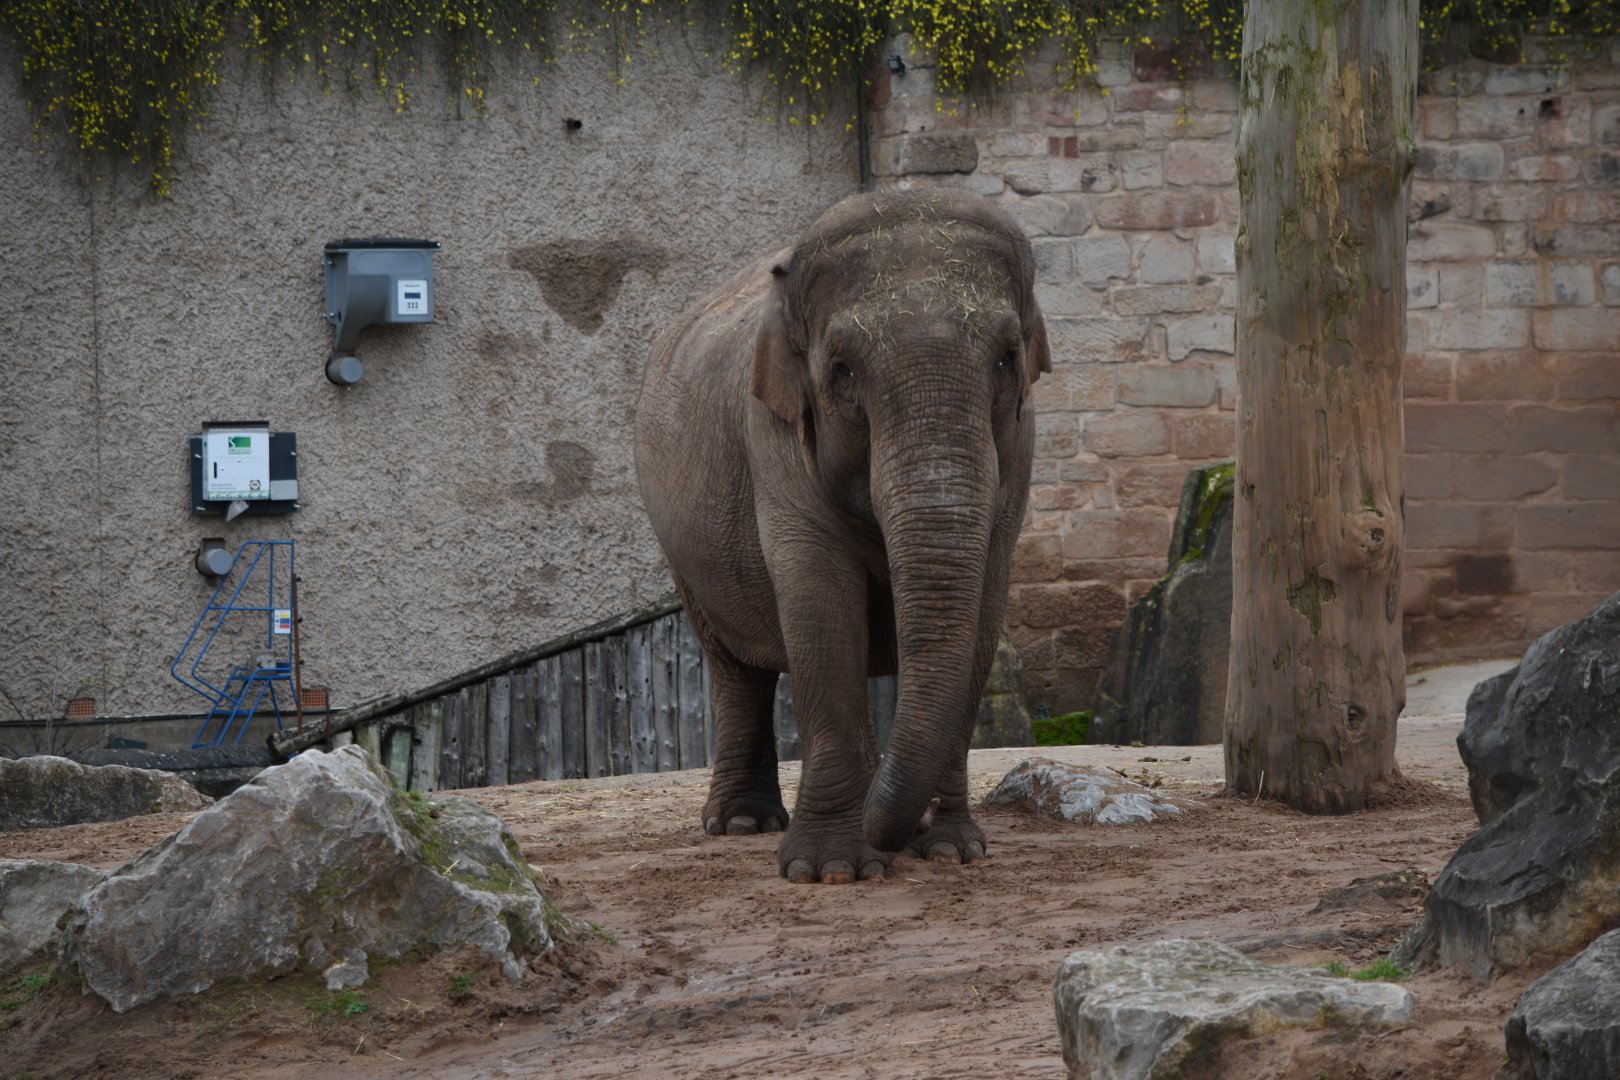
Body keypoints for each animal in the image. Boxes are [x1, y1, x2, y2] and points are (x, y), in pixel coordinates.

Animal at [635, 189, 1049, 884]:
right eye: (843, 370)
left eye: (1006, 358)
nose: (914, 827)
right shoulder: (773, 434)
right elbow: (821, 609)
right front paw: (830, 869)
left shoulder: (1019, 444)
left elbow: (983, 618)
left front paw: (950, 849)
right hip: (679, 547)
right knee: (735, 667)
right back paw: (742, 824)